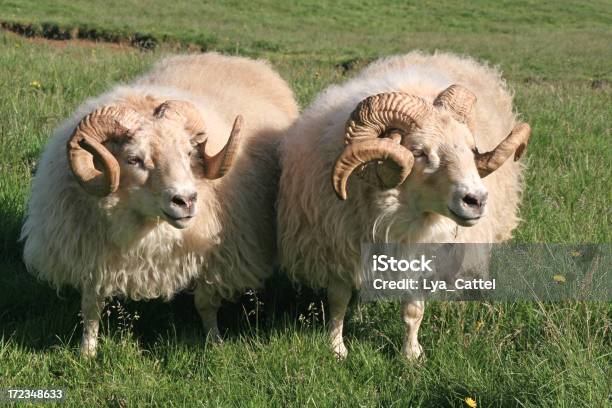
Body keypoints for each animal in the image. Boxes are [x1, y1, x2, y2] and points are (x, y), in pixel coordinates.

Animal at [19, 52, 296, 356]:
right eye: (134, 159)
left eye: (189, 152)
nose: (186, 201)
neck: (146, 228)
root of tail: (232, 58)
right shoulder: (93, 253)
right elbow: (91, 306)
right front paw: (87, 352)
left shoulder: (215, 255)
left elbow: (205, 303)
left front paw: (214, 342)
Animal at [278, 51, 532, 360]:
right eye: (419, 152)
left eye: (472, 149)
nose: (476, 200)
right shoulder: (337, 246)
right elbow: (338, 301)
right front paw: (336, 348)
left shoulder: (424, 255)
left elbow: (413, 310)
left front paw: (411, 355)